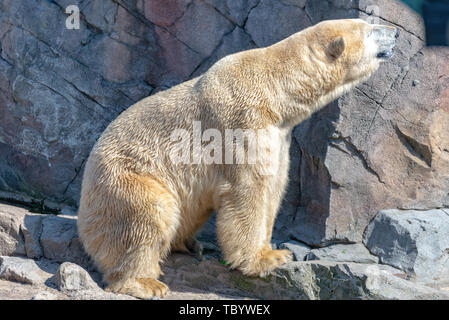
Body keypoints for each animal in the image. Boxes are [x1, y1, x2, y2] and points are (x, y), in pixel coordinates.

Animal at [78, 18, 400, 298]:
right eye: (369, 29)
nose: (396, 32)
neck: (275, 88)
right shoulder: (241, 120)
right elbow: (248, 188)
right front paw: (264, 259)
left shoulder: (278, 134)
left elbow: (274, 184)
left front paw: (273, 250)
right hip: (126, 178)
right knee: (148, 215)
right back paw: (145, 282)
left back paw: (189, 244)